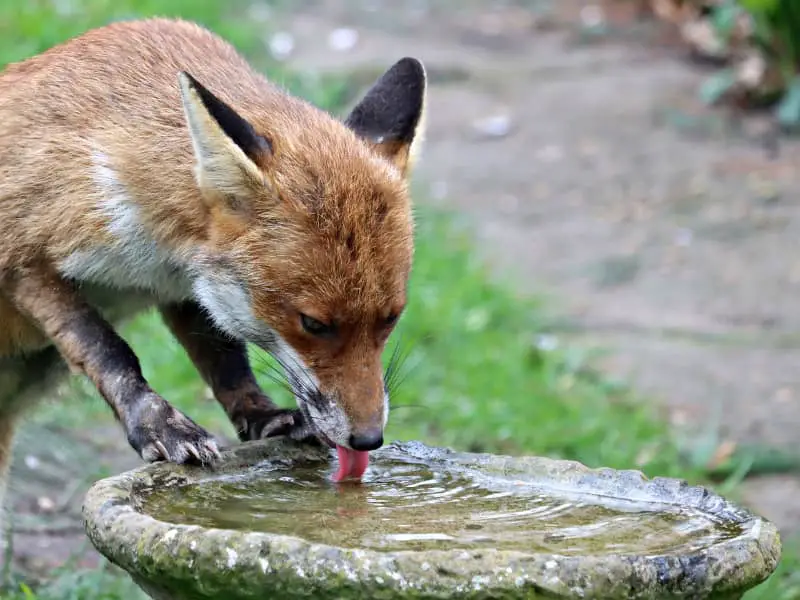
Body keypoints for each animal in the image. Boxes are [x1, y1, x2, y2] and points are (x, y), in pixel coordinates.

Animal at [0, 17, 424, 506]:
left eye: (391, 318)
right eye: (314, 324)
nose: (368, 440)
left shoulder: (189, 286)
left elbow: (223, 357)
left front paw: (263, 416)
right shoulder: (22, 257)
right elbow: (106, 348)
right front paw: (157, 423)